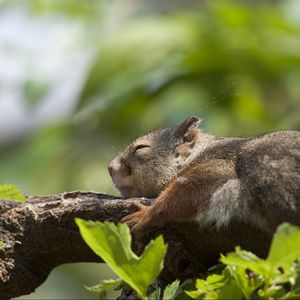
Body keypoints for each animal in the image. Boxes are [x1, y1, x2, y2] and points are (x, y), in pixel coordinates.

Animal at [108, 115, 300, 234]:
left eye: (141, 148)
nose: (110, 168)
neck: (198, 154)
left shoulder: (218, 166)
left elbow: (188, 192)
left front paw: (146, 214)